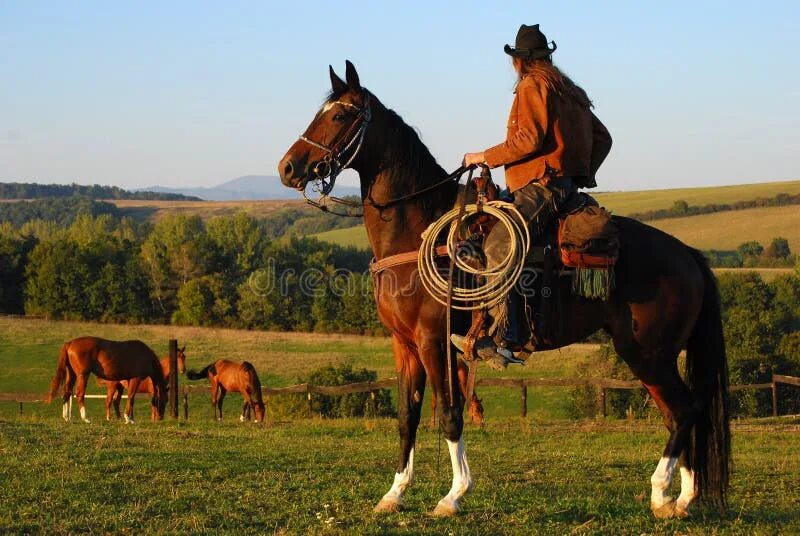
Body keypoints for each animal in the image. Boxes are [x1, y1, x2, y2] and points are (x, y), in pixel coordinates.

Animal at [276, 60, 732, 516]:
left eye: (340, 115)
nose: (288, 168)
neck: (417, 230)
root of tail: (687, 254)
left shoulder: (433, 341)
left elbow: (449, 413)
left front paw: (454, 494)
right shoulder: (403, 344)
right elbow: (407, 416)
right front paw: (394, 493)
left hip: (647, 352)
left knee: (685, 410)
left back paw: (663, 490)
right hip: (654, 356)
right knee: (681, 413)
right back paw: (678, 497)